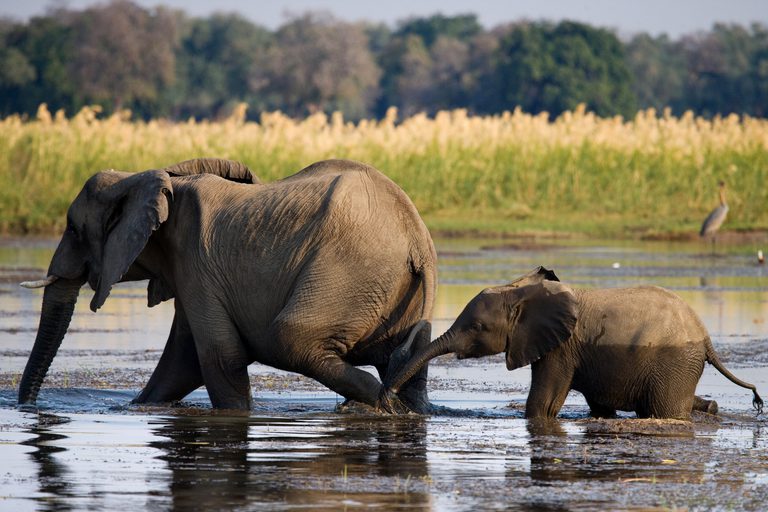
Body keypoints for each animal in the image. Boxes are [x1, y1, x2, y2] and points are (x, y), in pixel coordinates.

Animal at [18, 158, 437, 412]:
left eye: (73, 229)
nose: (29, 406)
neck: (141, 176)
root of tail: (418, 239)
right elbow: (181, 360)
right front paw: (137, 407)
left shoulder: (195, 260)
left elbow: (219, 355)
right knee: (404, 366)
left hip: (347, 271)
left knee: (290, 338)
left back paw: (384, 406)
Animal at [381, 267, 763, 420]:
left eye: (477, 326)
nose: (388, 399)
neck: (520, 292)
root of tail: (706, 336)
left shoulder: (560, 349)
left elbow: (544, 404)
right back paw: (711, 407)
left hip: (673, 361)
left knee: (664, 410)